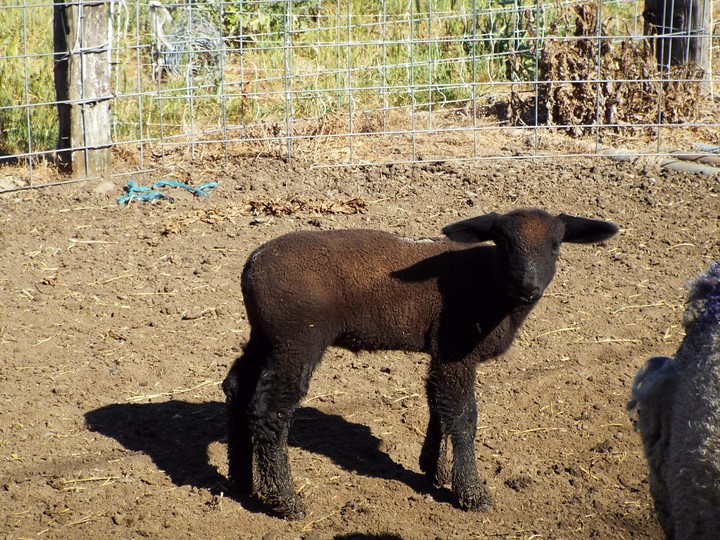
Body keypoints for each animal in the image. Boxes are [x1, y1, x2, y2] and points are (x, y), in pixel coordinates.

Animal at [222, 208, 619, 519]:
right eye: (504, 244)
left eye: (556, 245)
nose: (529, 287)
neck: (490, 283)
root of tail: (253, 262)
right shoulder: (458, 350)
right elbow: (462, 416)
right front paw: (470, 493)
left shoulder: (442, 350)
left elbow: (438, 403)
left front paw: (435, 469)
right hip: (297, 339)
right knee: (271, 410)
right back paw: (284, 501)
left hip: (265, 333)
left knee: (237, 388)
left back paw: (241, 480)